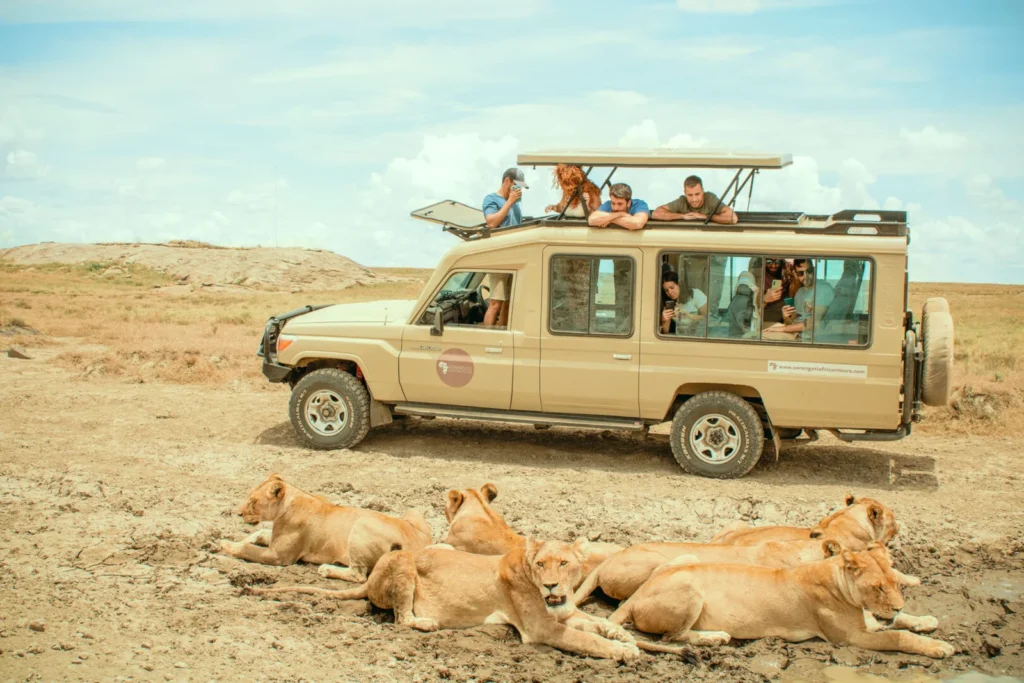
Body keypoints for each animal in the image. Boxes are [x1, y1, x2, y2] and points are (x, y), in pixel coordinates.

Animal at [218, 473, 431, 582]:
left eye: (253, 502)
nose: (238, 513)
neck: (288, 502)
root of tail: (420, 548)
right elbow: (259, 533)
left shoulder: (279, 556)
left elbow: (247, 549)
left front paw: (224, 546)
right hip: (413, 512)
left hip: (362, 524)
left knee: (358, 575)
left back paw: (326, 569)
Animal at [250, 539, 642, 662]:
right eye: (540, 564)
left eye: (564, 563)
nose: (549, 586)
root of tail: (370, 580)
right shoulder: (541, 629)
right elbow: (587, 639)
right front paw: (622, 651)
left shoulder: (564, 613)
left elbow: (595, 623)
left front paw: (624, 637)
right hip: (404, 561)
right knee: (402, 619)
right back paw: (426, 622)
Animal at [607, 543, 953, 659]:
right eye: (878, 587)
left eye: (894, 583)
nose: (896, 604)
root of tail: (636, 596)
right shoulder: (852, 638)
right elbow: (899, 636)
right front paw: (939, 646)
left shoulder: (870, 621)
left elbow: (901, 622)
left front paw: (926, 619)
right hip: (690, 585)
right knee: (673, 637)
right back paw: (715, 637)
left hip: (685, 560)